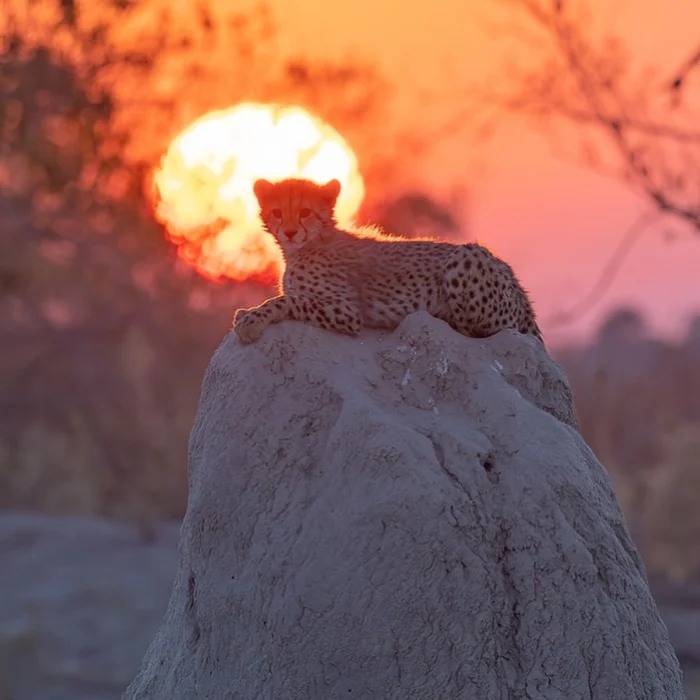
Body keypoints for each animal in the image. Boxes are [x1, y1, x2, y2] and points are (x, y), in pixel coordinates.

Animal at [232, 179, 544, 346]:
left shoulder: (347, 312)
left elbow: (287, 300)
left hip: (467, 256)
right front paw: (248, 313)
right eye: (277, 212)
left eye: (305, 211)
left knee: (483, 330)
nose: (290, 232)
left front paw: (251, 320)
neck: (306, 246)